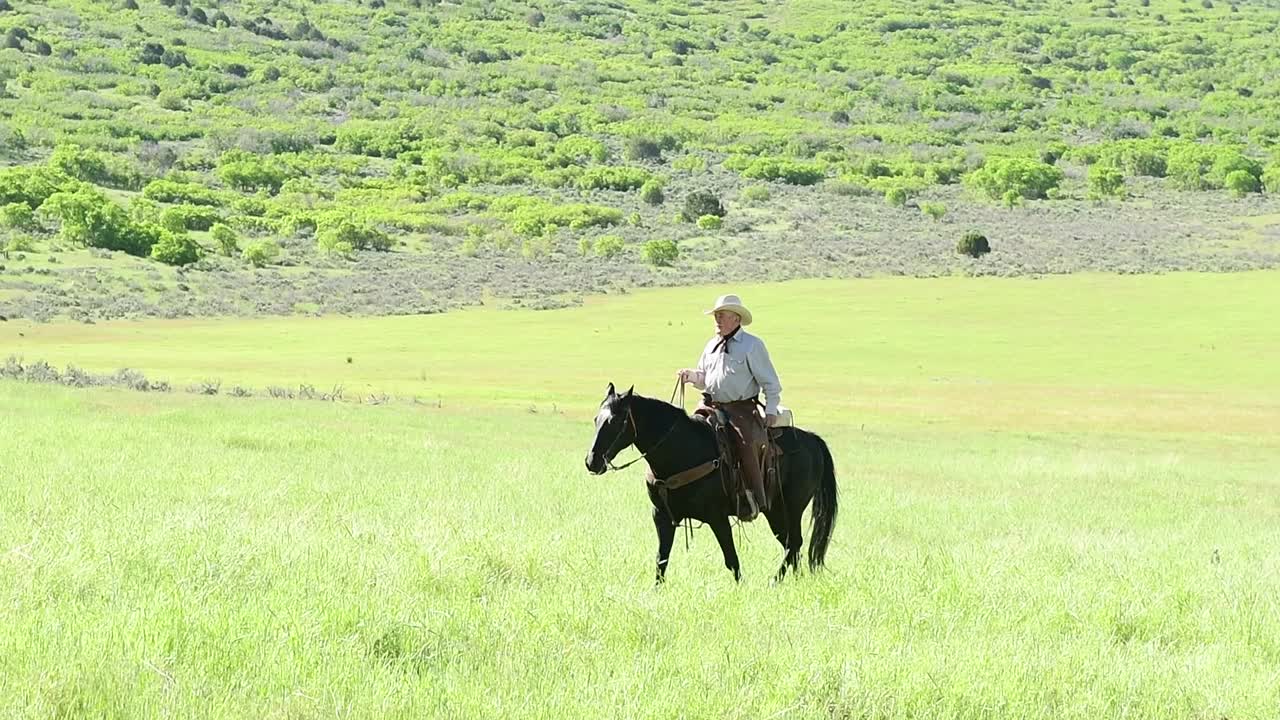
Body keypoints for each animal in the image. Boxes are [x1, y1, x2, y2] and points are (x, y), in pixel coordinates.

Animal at [586, 384, 839, 579]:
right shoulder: (662, 516)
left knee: (793, 544)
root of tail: (812, 440)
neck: (681, 451)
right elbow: (661, 561)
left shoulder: (717, 518)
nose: (592, 461)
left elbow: (732, 561)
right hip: (776, 512)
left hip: (789, 508)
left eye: (616, 422)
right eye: (596, 419)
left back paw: (773, 582)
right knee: (790, 545)